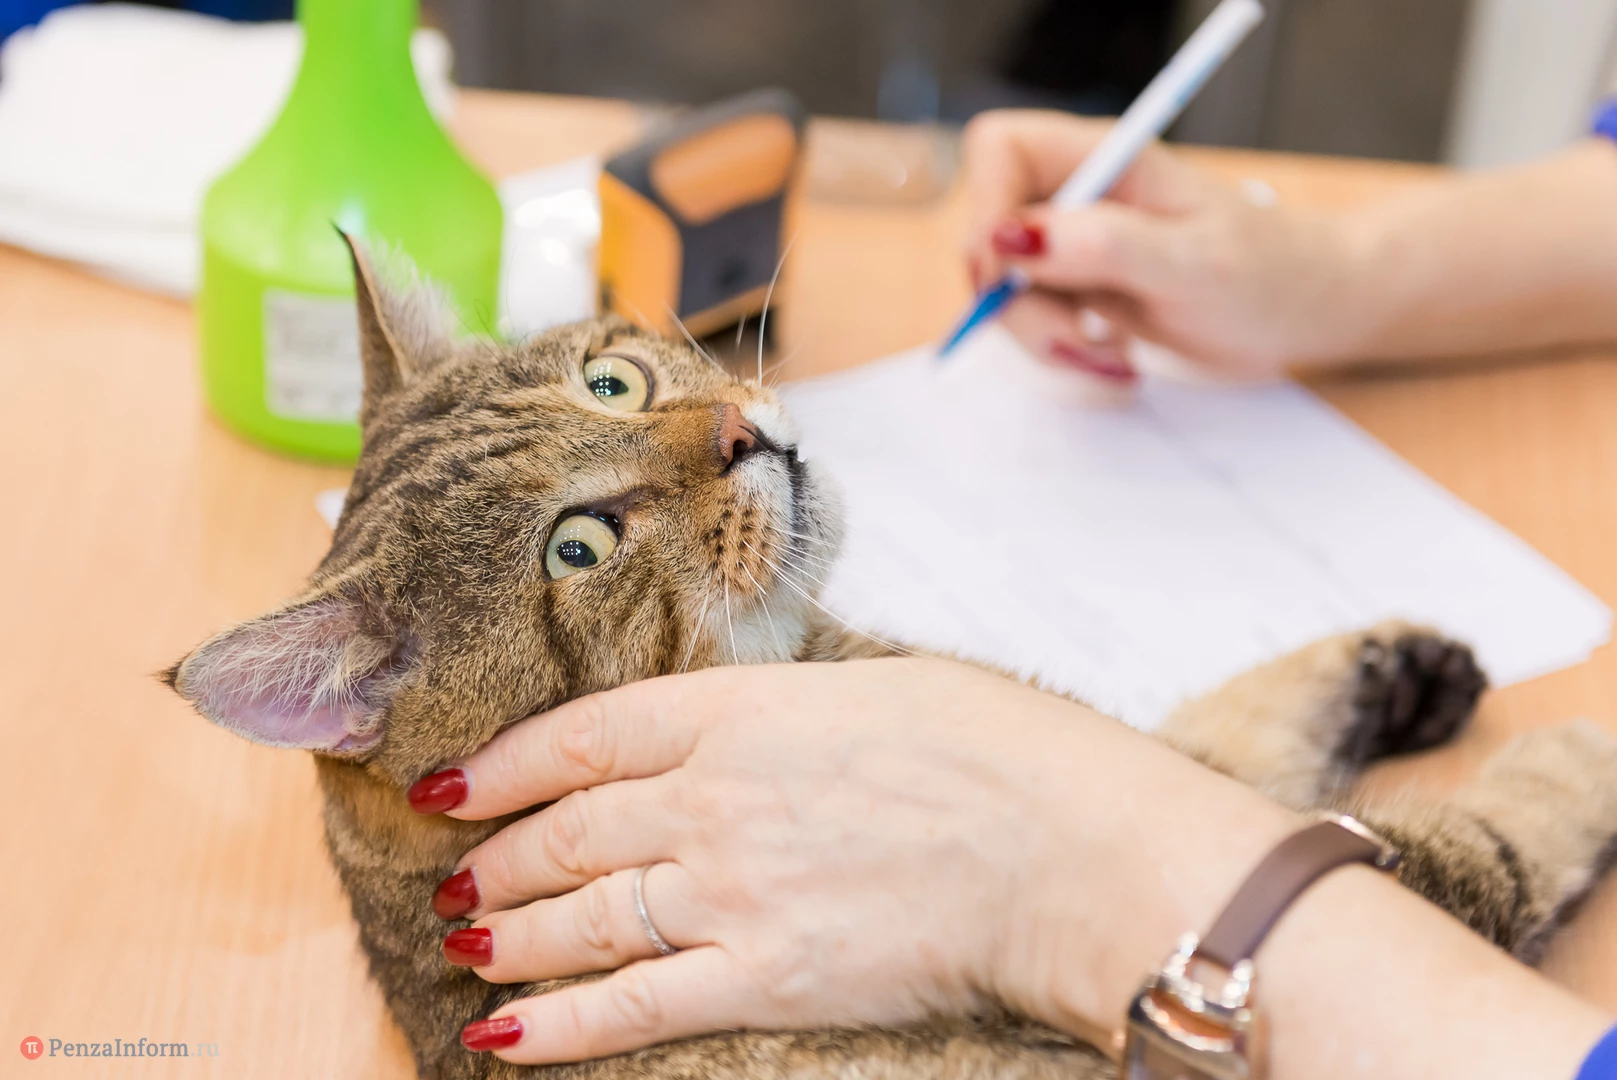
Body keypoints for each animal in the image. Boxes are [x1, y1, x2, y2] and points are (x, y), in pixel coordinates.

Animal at [166, 238, 1617, 1080]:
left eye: (612, 383)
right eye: (578, 547)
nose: (746, 434)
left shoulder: (1134, 768)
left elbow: (1240, 724)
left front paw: (1397, 665)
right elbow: (1474, 835)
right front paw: (1577, 752)